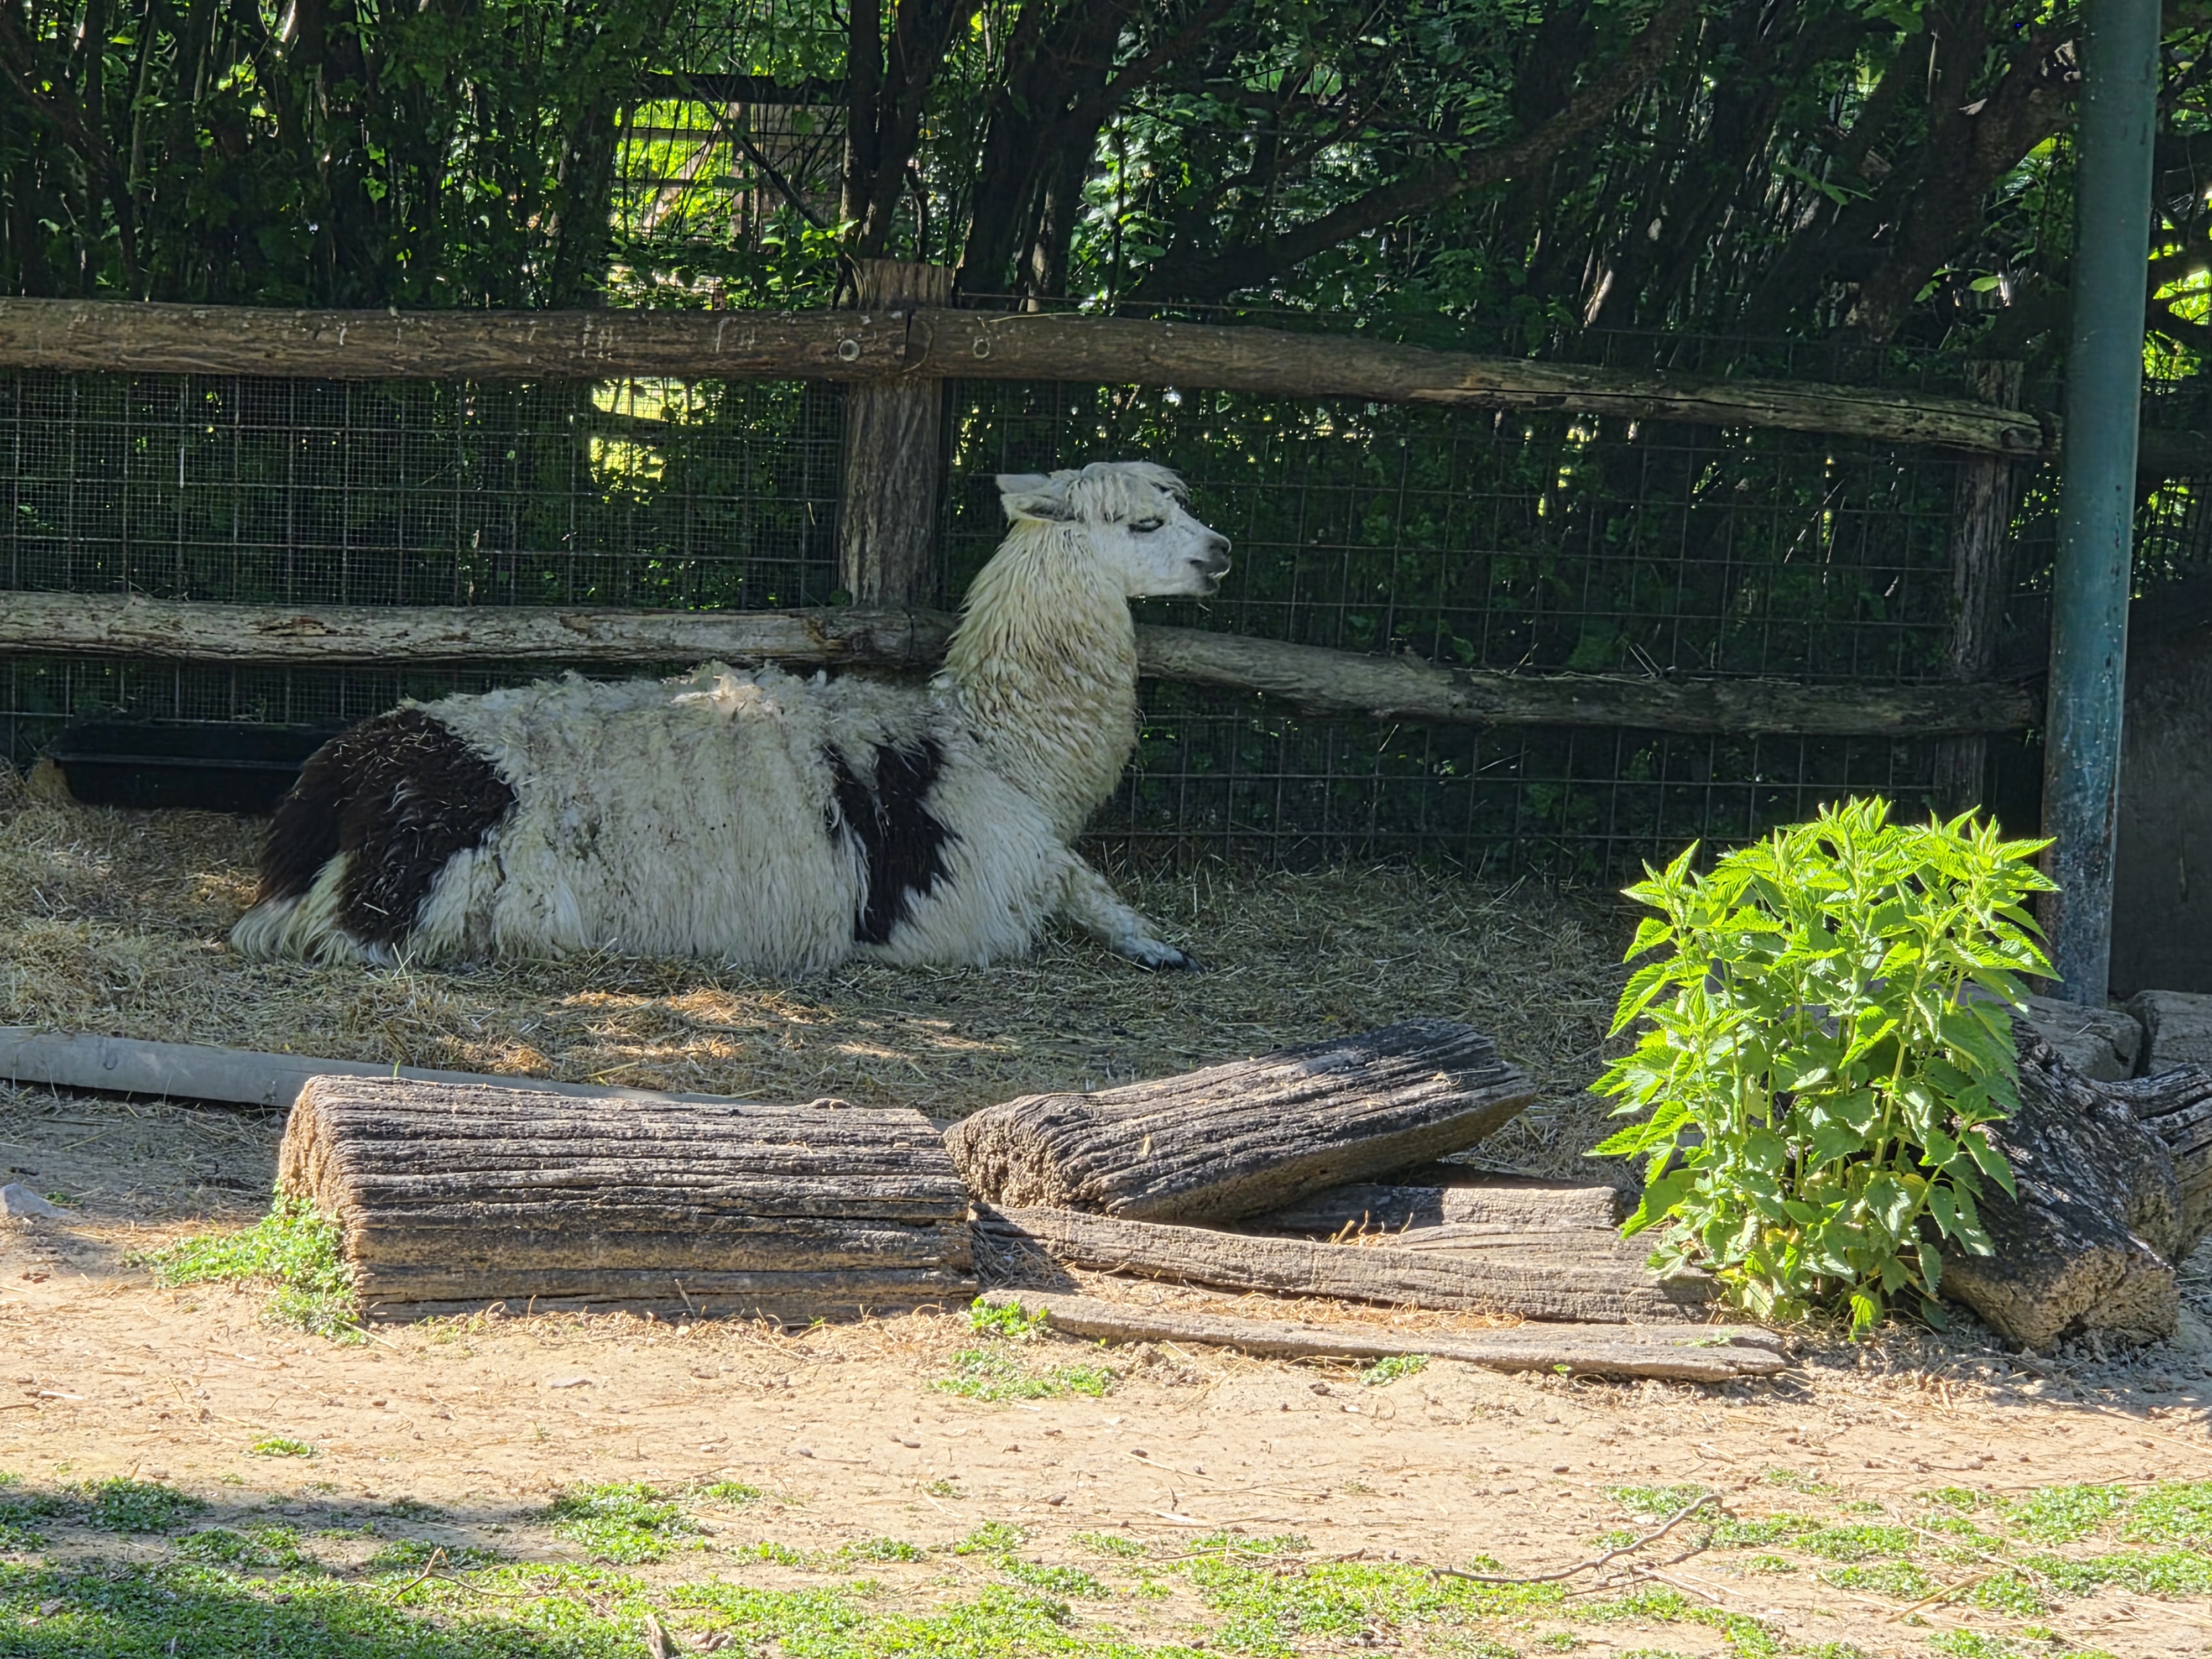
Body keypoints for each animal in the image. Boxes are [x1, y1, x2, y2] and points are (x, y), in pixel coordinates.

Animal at [228, 461, 1231, 974]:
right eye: (1145, 523)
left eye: (1179, 507)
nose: (1221, 550)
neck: (998, 753)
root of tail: (335, 780)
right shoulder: (969, 906)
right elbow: (1074, 886)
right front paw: (1156, 943)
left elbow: (1089, 885)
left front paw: (1159, 942)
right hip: (439, 892)